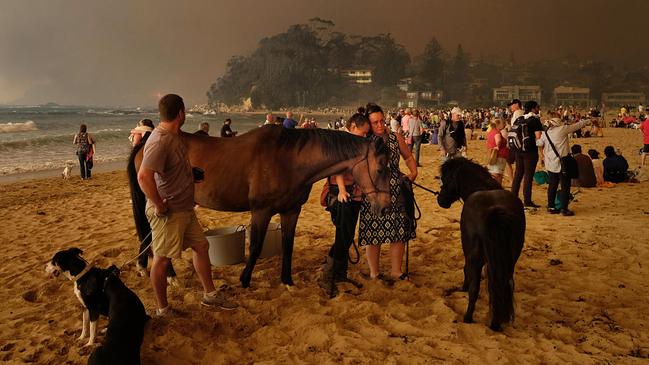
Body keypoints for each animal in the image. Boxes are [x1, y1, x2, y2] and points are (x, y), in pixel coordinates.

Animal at [128, 125, 388, 288]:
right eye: (380, 169)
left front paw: (287, 281)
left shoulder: (291, 211)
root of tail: (148, 140)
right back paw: (169, 276)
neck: (289, 159)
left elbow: (287, 245)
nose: (385, 207)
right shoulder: (261, 211)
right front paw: (244, 280)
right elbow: (254, 247)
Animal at [432, 157, 524, 330]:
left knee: (475, 288)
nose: (440, 200)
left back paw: (468, 317)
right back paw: (496, 322)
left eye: (446, 179)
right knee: (501, 285)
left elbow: (467, 273)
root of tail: (494, 211)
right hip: (510, 258)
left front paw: (463, 287)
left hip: (475, 255)